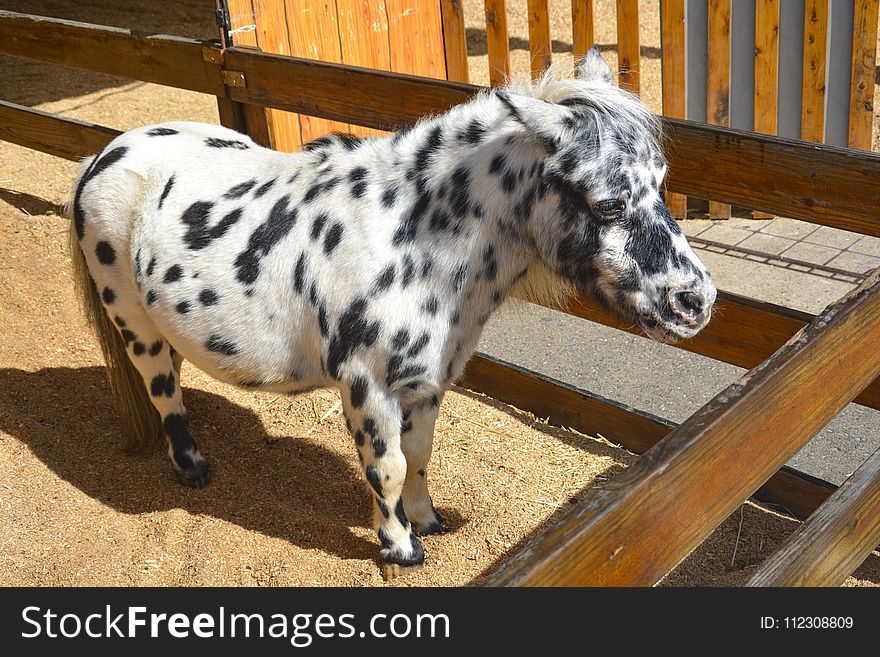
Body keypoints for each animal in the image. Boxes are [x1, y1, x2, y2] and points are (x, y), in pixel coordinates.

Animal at [69, 47, 716, 576]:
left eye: (660, 182)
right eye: (607, 203)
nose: (695, 301)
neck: (410, 243)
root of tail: (105, 153)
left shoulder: (425, 385)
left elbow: (420, 457)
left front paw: (427, 521)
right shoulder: (368, 387)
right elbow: (388, 468)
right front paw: (401, 548)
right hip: (134, 324)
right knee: (162, 390)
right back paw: (192, 466)